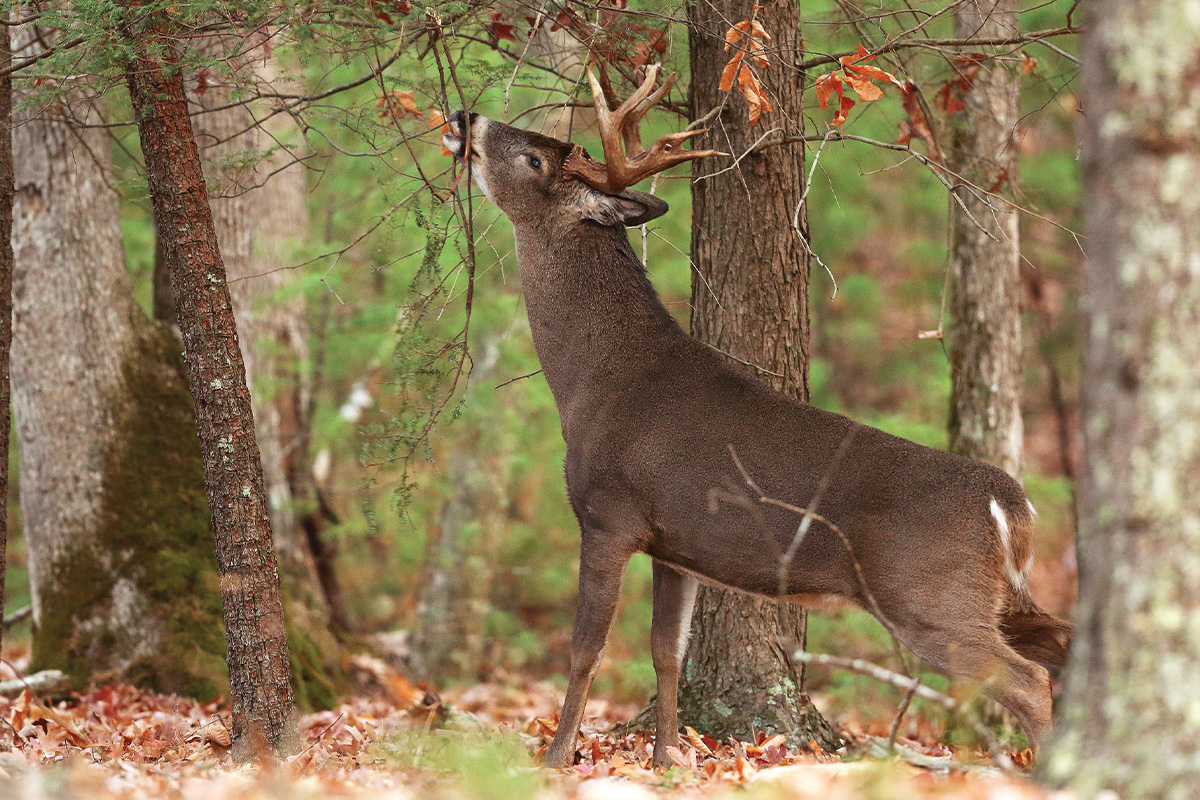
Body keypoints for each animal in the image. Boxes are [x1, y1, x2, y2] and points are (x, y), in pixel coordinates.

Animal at [446, 64, 1075, 767]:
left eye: (532, 159)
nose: (466, 118)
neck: (594, 381)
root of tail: (1011, 505)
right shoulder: (674, 544)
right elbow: (667, 653)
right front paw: (667, 758)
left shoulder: (609, 514)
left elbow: (587, 649)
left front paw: (557, 758)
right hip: (994, 595)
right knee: (1064, 645)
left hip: (927, 595)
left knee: (1029, 681)